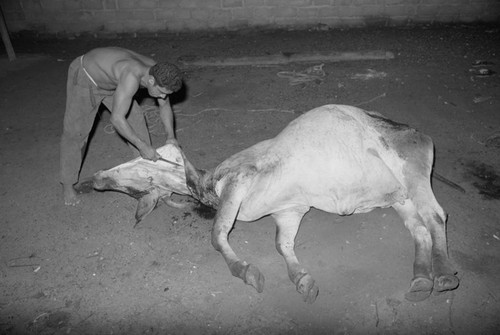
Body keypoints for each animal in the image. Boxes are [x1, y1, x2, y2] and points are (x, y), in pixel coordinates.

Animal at [182, 105, 458, 304]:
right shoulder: (289, 210)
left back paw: (444, 274)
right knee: (419, 229)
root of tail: (420, 134)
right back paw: (421, 281)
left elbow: (218, 235)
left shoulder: (238, 181)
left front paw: (247, 271)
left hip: (412, 173)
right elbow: (282, 244)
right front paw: (302, 280)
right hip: (402, 197)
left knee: (435, 215)